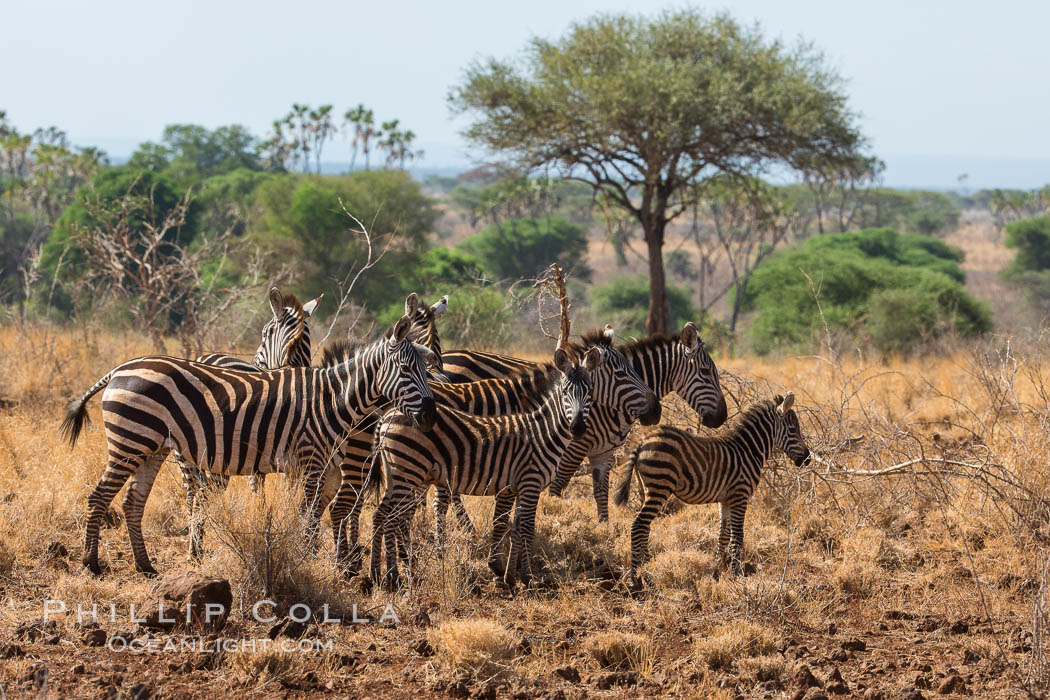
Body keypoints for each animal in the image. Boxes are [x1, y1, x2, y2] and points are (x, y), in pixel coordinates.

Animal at [365, 348, 609, 587]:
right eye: (566, 392)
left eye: (590, 392)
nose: (577, 428)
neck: (543, 432)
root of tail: (388, 415)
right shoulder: (530, 482)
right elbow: (526, 528)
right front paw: (527, 577)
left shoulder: (516, 487)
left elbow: (513, 527)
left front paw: (509, 576)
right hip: (408, 471)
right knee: (392, 517)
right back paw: (394, 575)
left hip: (397, 473)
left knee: (381, 514)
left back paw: (377, 573)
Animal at [438, 323, 726, 520]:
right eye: (705, 372)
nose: (722, 416)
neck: (602, 403)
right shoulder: (572, 450)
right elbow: (556, 491)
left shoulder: (603, 452)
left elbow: (601, 494)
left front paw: (603, 529)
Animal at [613, 394, 810, 579]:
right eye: (793, 430)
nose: (807, 459)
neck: (749, 451)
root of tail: (643, 439)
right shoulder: (740, 495)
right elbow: (737, 537)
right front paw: (736, 574)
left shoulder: (725, 499)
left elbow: (723, 535)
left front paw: (718, 571)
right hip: (660, 484)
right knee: (638, 525)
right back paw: (636, 576)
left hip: (647, 488)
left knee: (645, 526)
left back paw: (647, 565)